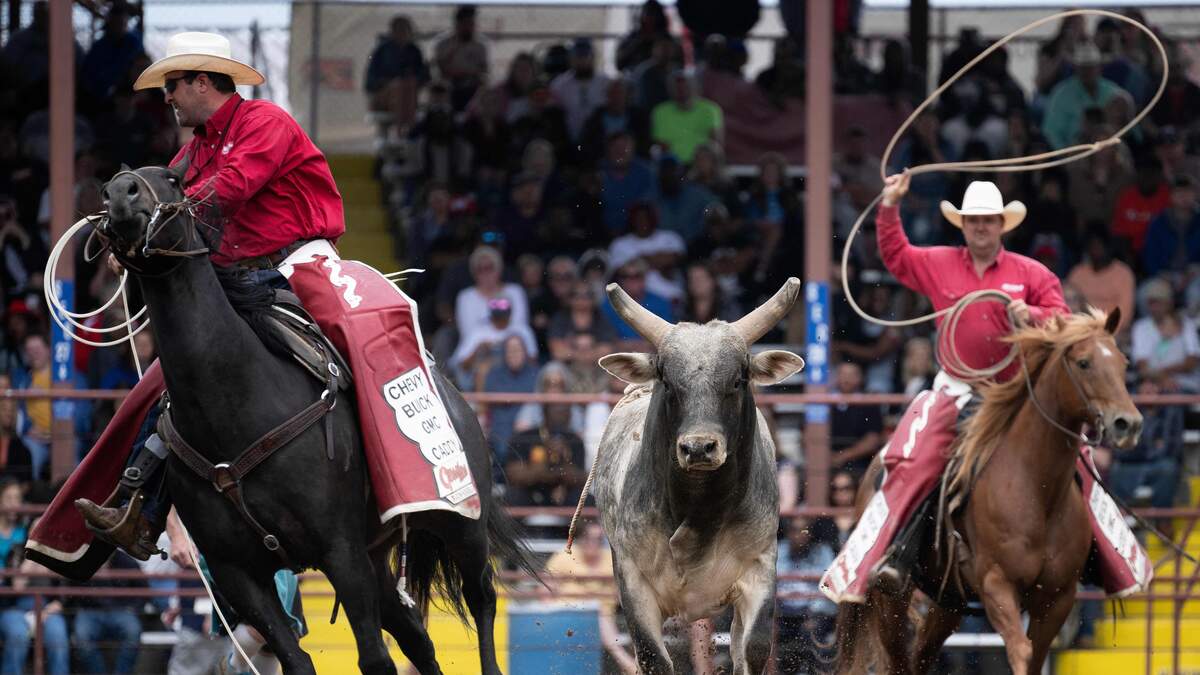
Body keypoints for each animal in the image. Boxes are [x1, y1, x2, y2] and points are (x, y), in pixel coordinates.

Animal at [592, 276, 806, 667]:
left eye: (737, 380)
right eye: (666, 380)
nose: (698, 447)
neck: (699, 508)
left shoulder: (759, 569)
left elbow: (752, 649)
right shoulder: (633, 580)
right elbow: (653, 657)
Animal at [835, 306, 1142, 672]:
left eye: (1123, 363)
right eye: (1084, 362)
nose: (1128, 423)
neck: (1036, 488)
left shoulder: (1056, 598)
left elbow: (1035, 656)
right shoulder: (997, 584)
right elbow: (1021, 652)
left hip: (948, 601)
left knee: (921, 655)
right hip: (890, 600)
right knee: (900, 659)